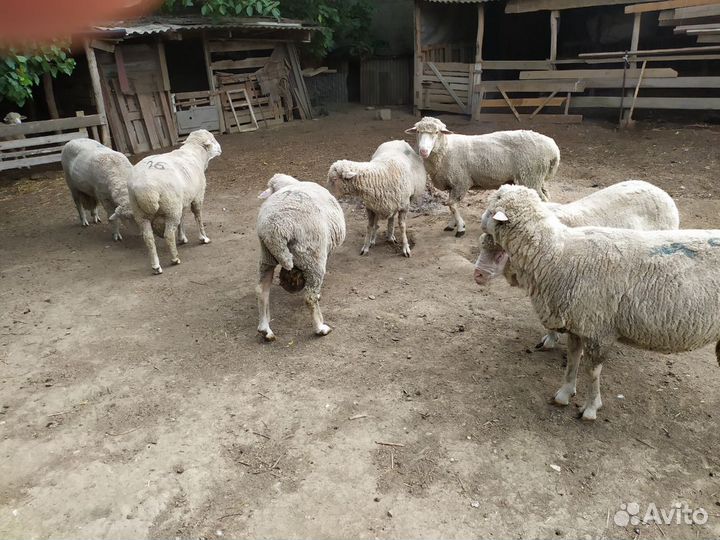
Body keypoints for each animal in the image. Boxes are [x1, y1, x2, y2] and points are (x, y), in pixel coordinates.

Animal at [124, 129, 221, 275]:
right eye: (213, 139)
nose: (220, 149)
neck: (195, 154)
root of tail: (145, 188)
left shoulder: (182, 200)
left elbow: (183, 218)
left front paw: (182, 238)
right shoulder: (197, 196)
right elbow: (198, 216)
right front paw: (204, 238)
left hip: (141, 213)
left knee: (148, 238)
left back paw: (156, 266)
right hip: (171, 208)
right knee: (169, 235)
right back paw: (175, 259)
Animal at [256, 173, 346, 341]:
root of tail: (276, 228)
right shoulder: (324, 251)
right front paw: (319, 295)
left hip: (266, 256)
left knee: (262, 290)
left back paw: (265, 329)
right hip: (312, 256)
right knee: (310, 297)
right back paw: (320, 328)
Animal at [405, 116, 559, 237]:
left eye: (436, 132)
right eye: (417, 131)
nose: (423, 151)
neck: (446, 149)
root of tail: (554, 149)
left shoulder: (461, 182)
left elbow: (452, 205)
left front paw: (460, 228)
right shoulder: (452, 183)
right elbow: (451, 206)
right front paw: (452, 224)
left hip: (529, 176)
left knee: (543, 200)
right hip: (538, 178)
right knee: (546, 198)